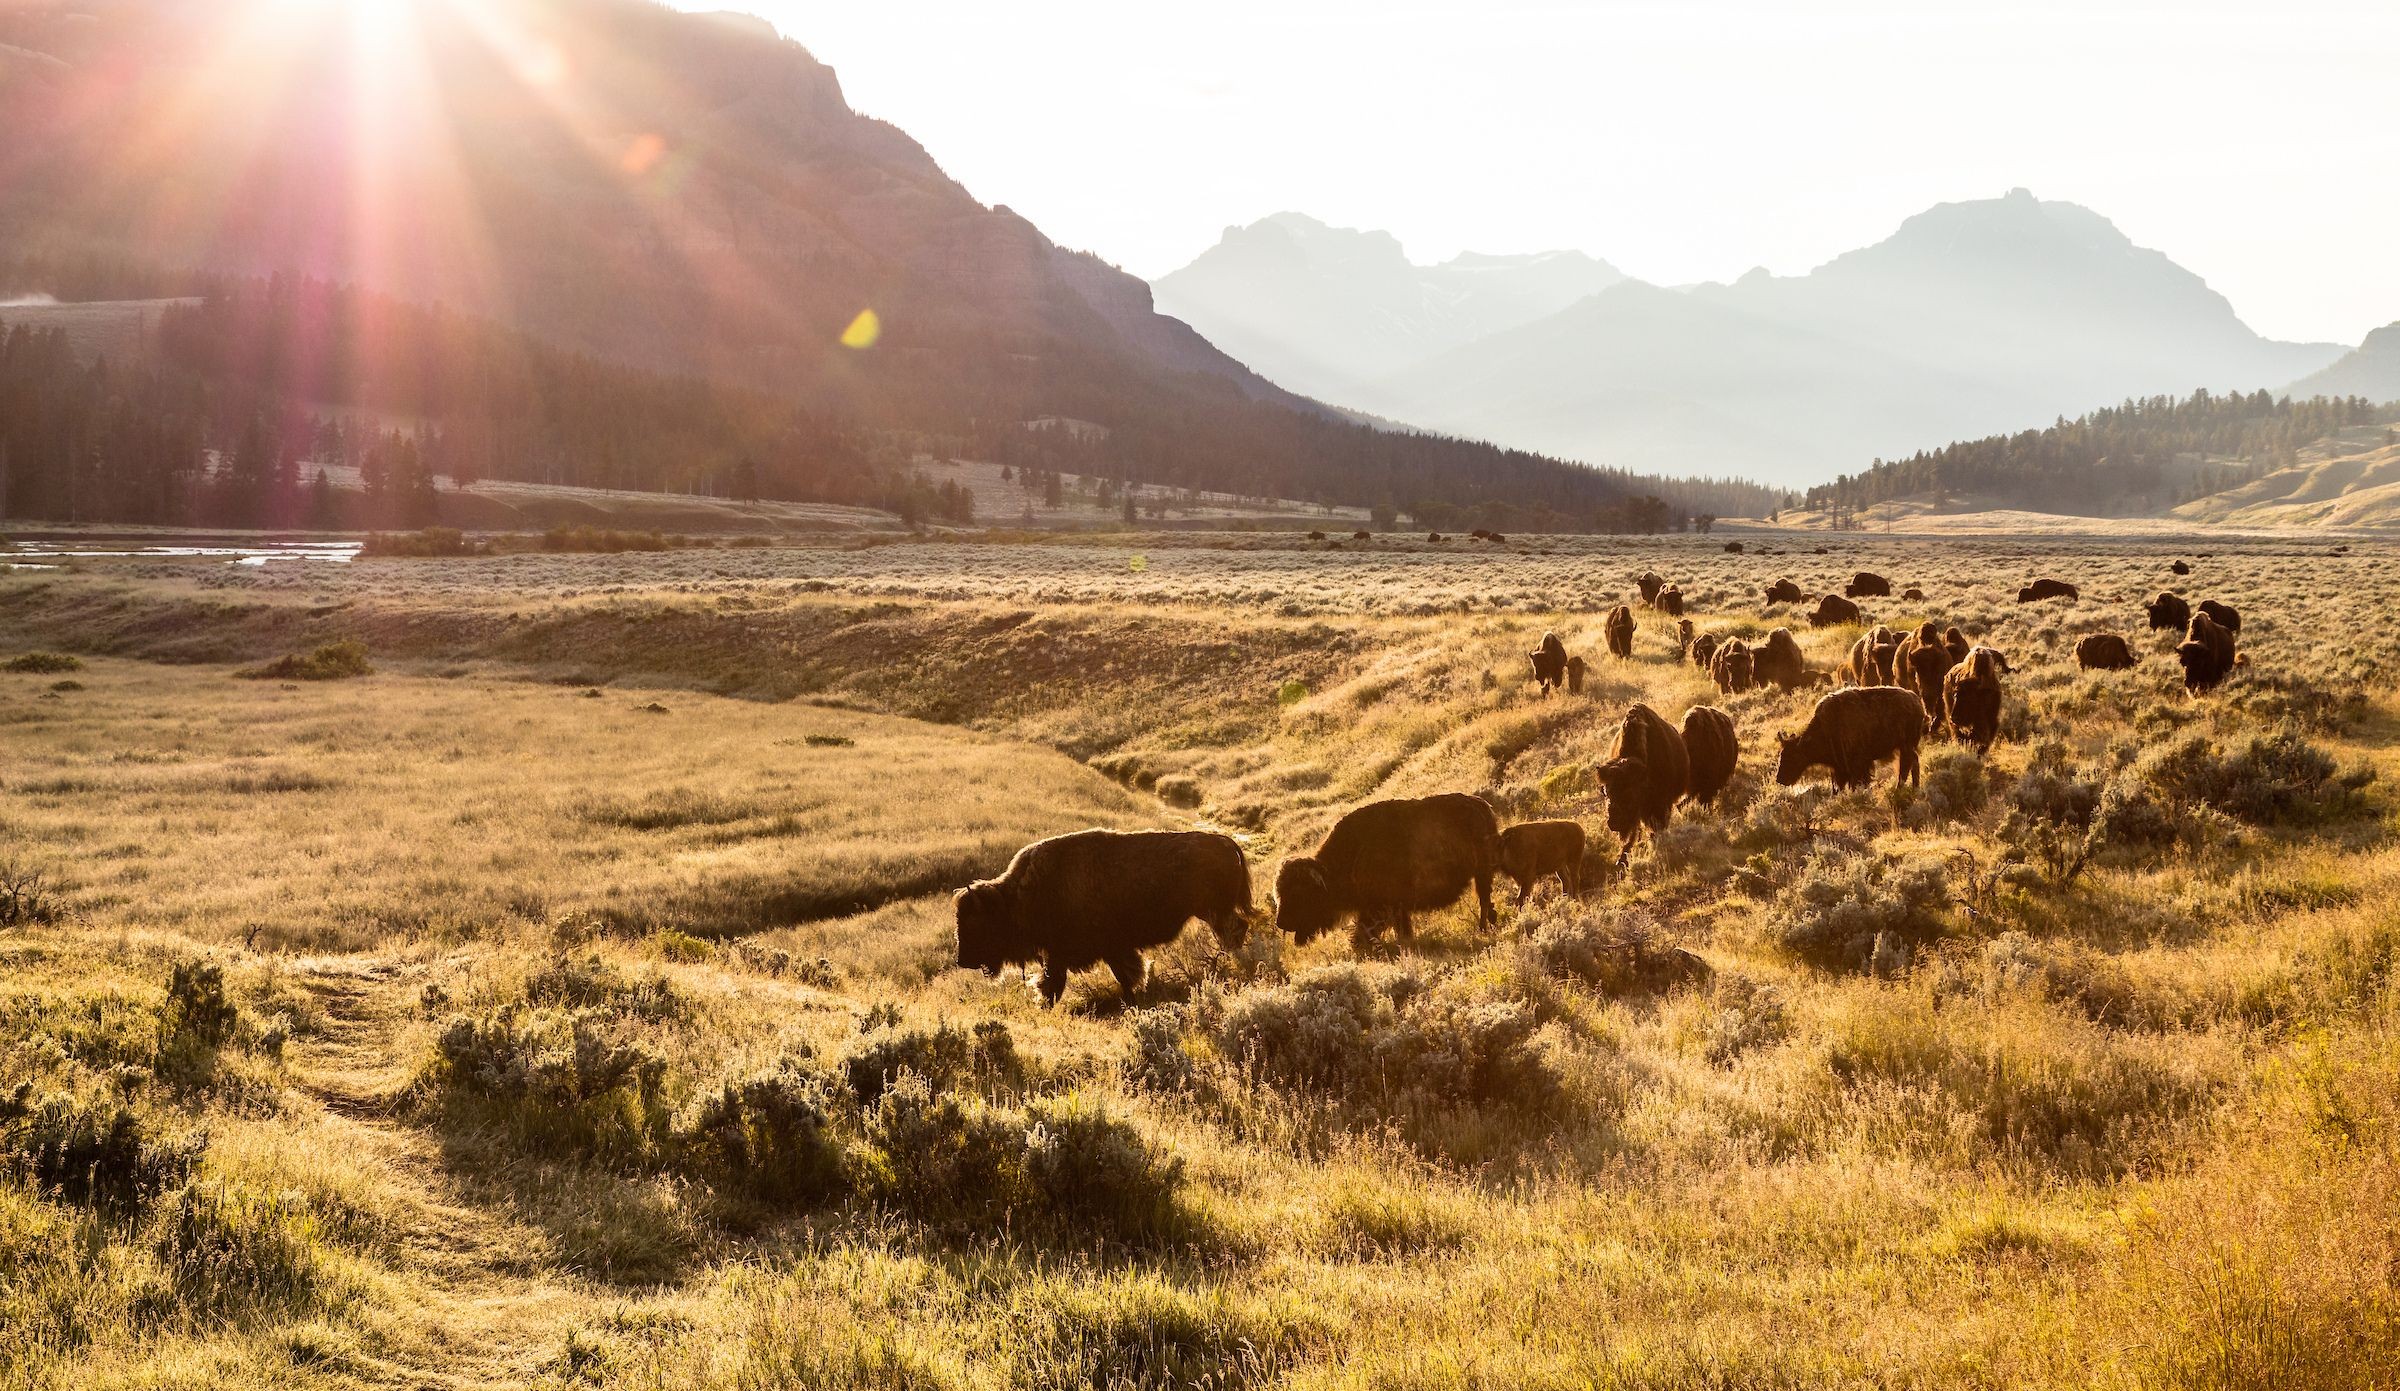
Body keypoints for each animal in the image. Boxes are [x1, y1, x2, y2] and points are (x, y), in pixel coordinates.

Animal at [957, 830, 1251, 1006]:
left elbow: (1059, 982)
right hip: (1213, 912)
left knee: (1235, 930)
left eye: (976, 923)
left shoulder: (1089, 950)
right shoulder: (1079, 952)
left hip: (1214, 911)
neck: (1019, 896)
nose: (962, 960)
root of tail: (1224, 841)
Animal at [1275, 794, 1501, 945]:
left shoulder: (1381, 905)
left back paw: (1483, 929)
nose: (1281, 923)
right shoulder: (1396, 906)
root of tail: (1482, 805)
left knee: (1483, 899)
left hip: (1482, 872)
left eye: (1299, 893)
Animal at [1776, 687, 1926, 790]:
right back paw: (1915, 787)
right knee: (1913, 762)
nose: (1780, 779)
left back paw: (1900, 788)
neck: (1826, 729)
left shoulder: (1857, 764)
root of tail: (1918, 702)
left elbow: (1856, 783)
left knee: (1906, 765)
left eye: (1792, 757)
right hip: (1906, 746)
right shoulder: (1840, 767)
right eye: (1781, 755)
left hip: (1906, 745)